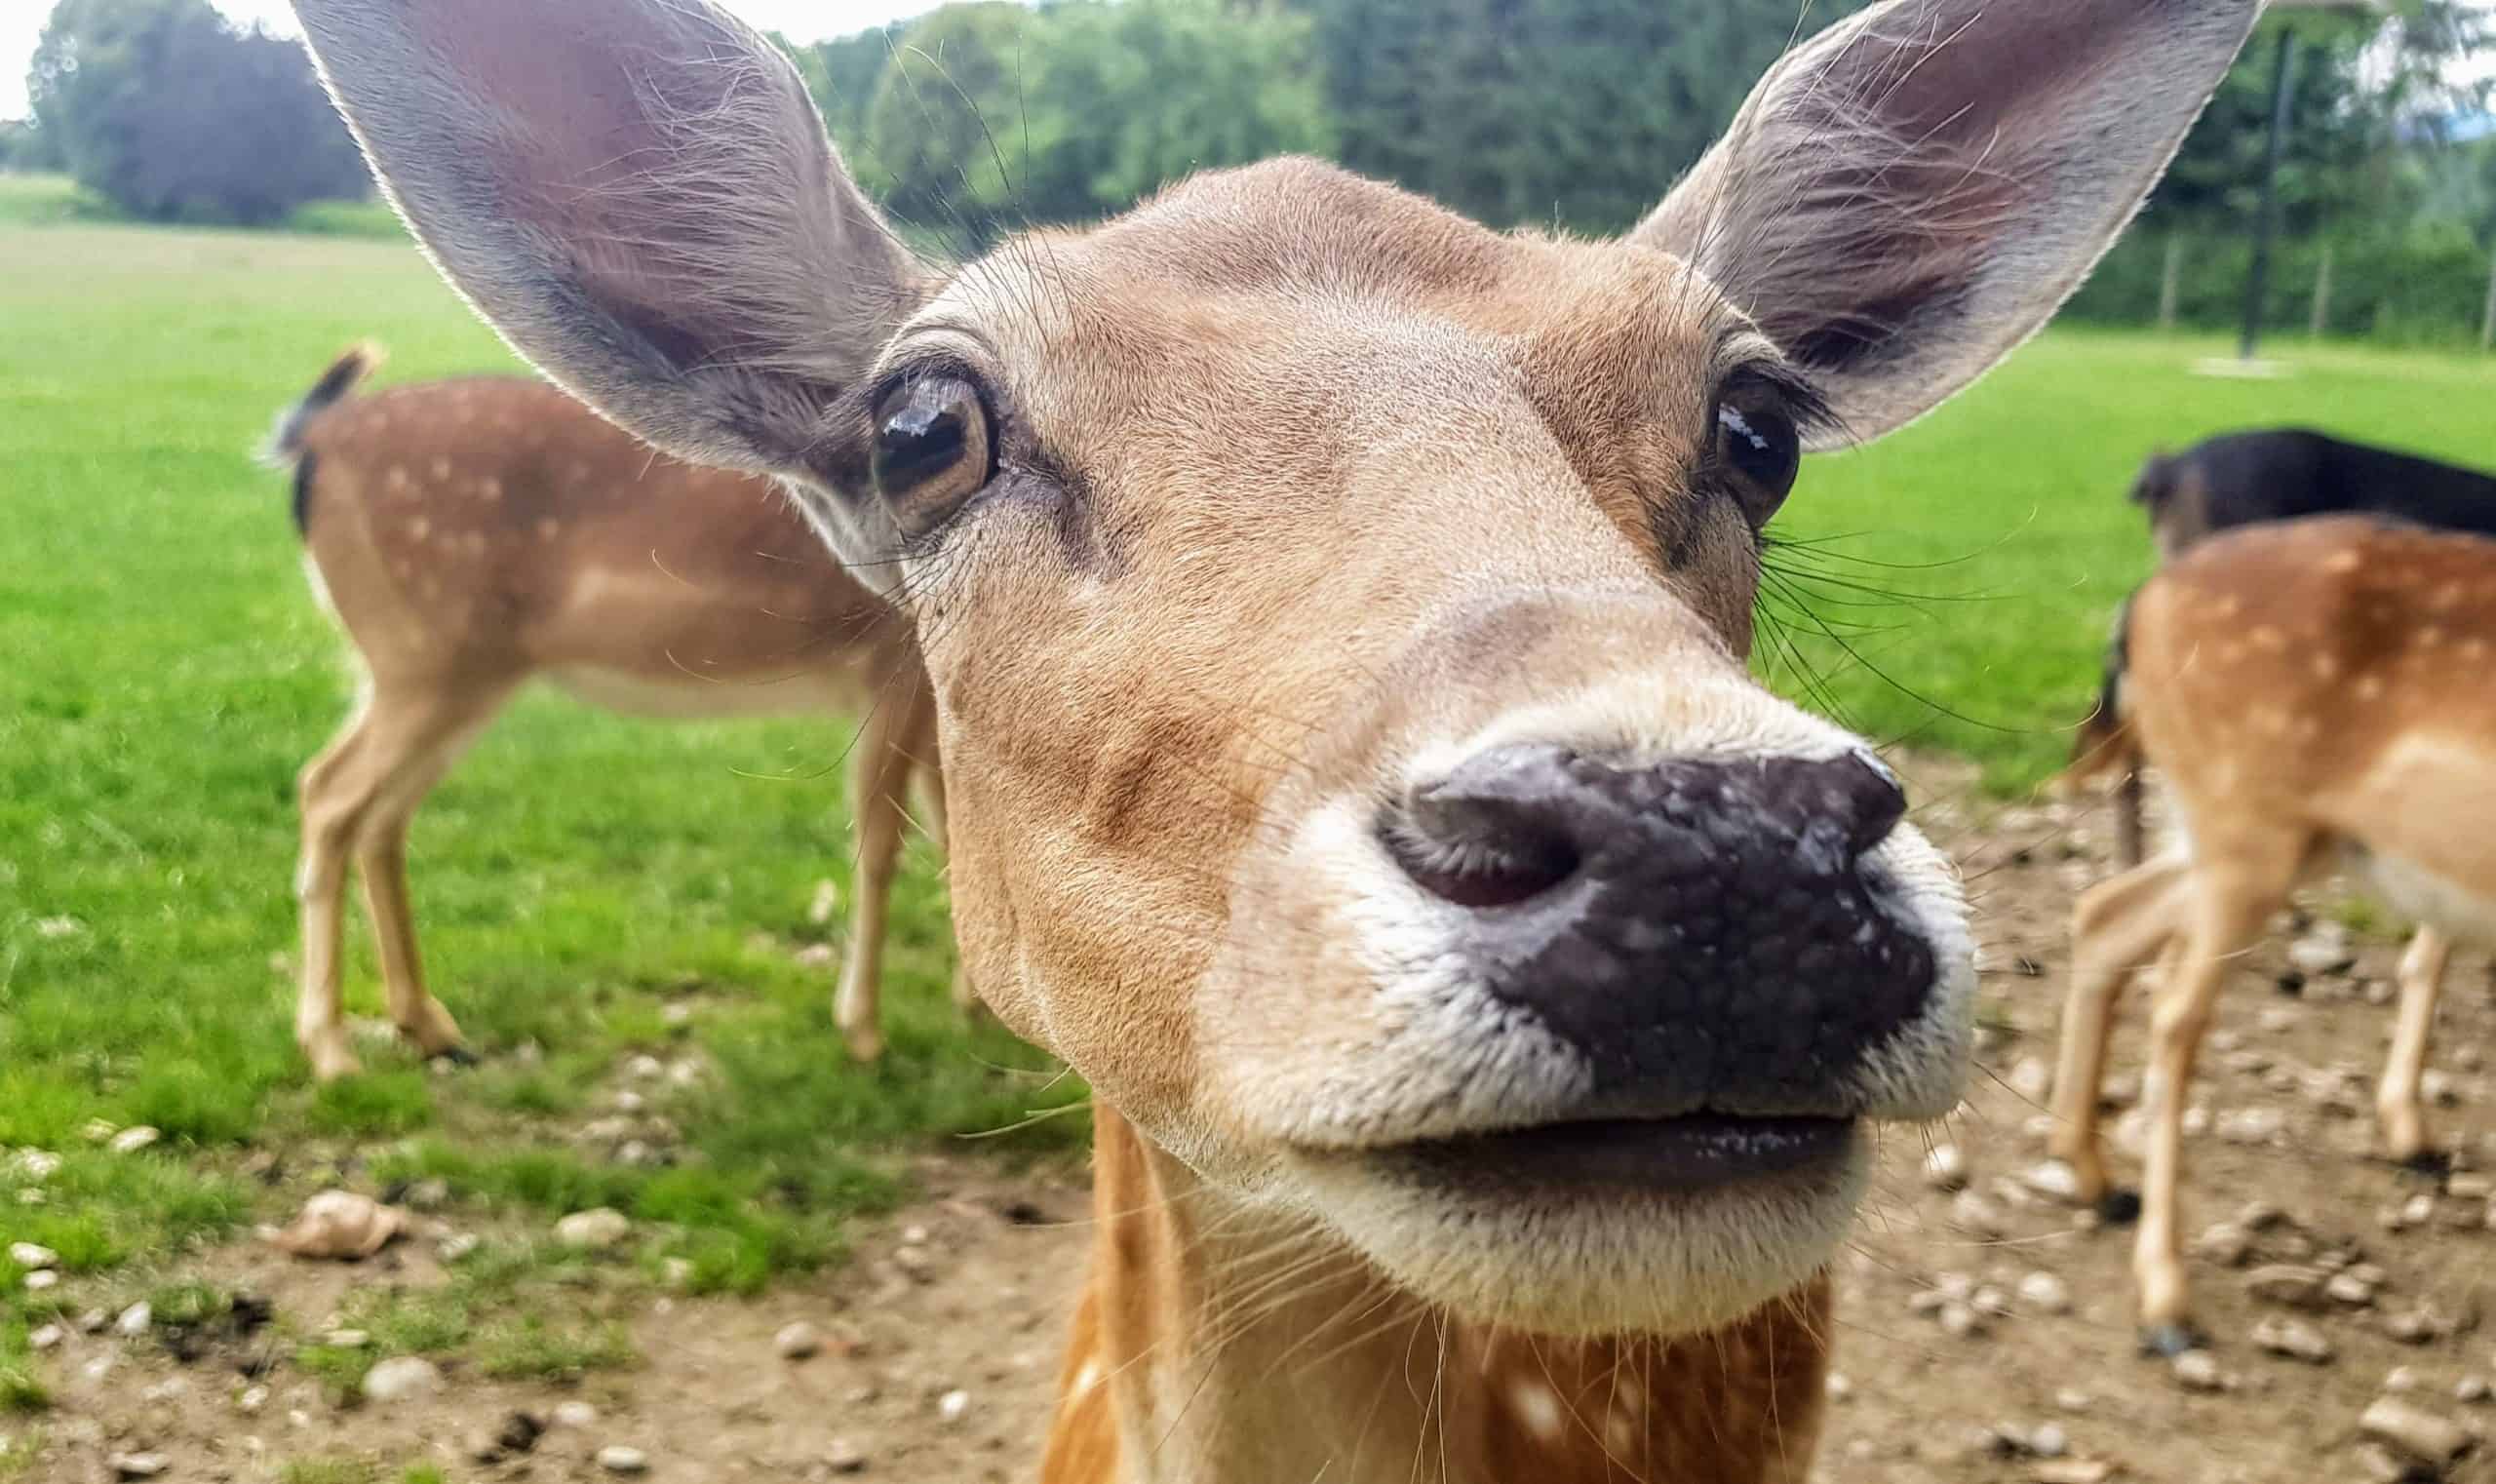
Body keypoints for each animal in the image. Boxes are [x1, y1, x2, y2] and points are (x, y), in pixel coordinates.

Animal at [273, 344, 963, 1082]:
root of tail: (311, 441)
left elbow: (949, 829)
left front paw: (975, 1002)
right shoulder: (895, 663)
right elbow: (885, 845)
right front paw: (864, 1031)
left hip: (428, 671)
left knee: (377, 815)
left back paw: (429, 1026)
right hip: (423, 657)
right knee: (327, 793)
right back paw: (331, 1048)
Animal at [2056, 516, 2496, 1356]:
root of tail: (2140, 605)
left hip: (2261, 836)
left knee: (2105, 914)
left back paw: (2092, 1177)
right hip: (2245, 821)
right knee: (2175, 1016)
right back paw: (2166, 1297)